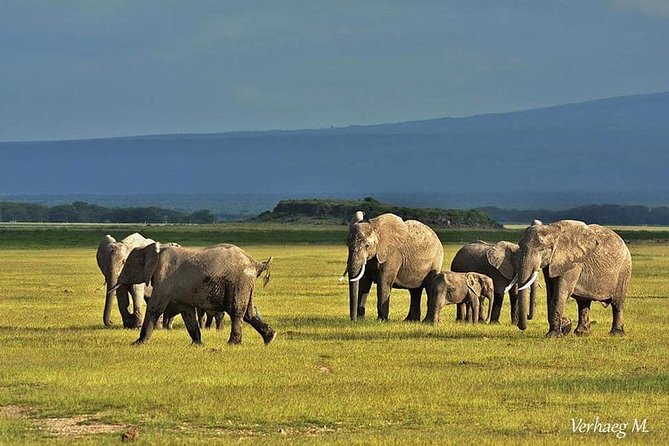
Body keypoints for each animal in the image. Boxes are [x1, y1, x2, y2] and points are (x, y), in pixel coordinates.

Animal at [111, 242, 276, 345]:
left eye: (126, 265)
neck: (151, 249)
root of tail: (255, 264)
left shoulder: (164, 277)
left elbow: (155, 307)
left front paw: (137, 344)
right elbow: (187, 312)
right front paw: (197, 344)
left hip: (239, 282)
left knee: (236, 311)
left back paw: (232, 343)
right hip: (244, 283)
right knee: (248, 313)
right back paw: (270, 338)